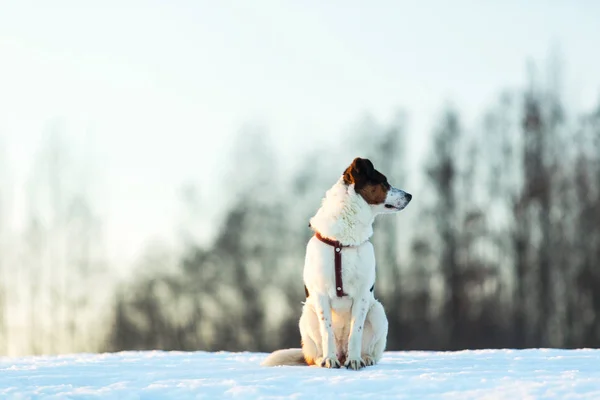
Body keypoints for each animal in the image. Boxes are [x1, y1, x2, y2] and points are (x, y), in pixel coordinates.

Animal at [262, 158, 412, 370]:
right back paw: (324, 359)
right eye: (384, 182)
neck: (343, 239)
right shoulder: (321, 295)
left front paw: (355, 360)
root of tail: (342, 353)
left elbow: (356, 332)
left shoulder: (362, 295)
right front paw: (329, 359)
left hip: (377, 311)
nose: (409, 195)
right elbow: (327, 332)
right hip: (307, 316)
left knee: (369, 348)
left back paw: (364, 358)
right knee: (313, 353)